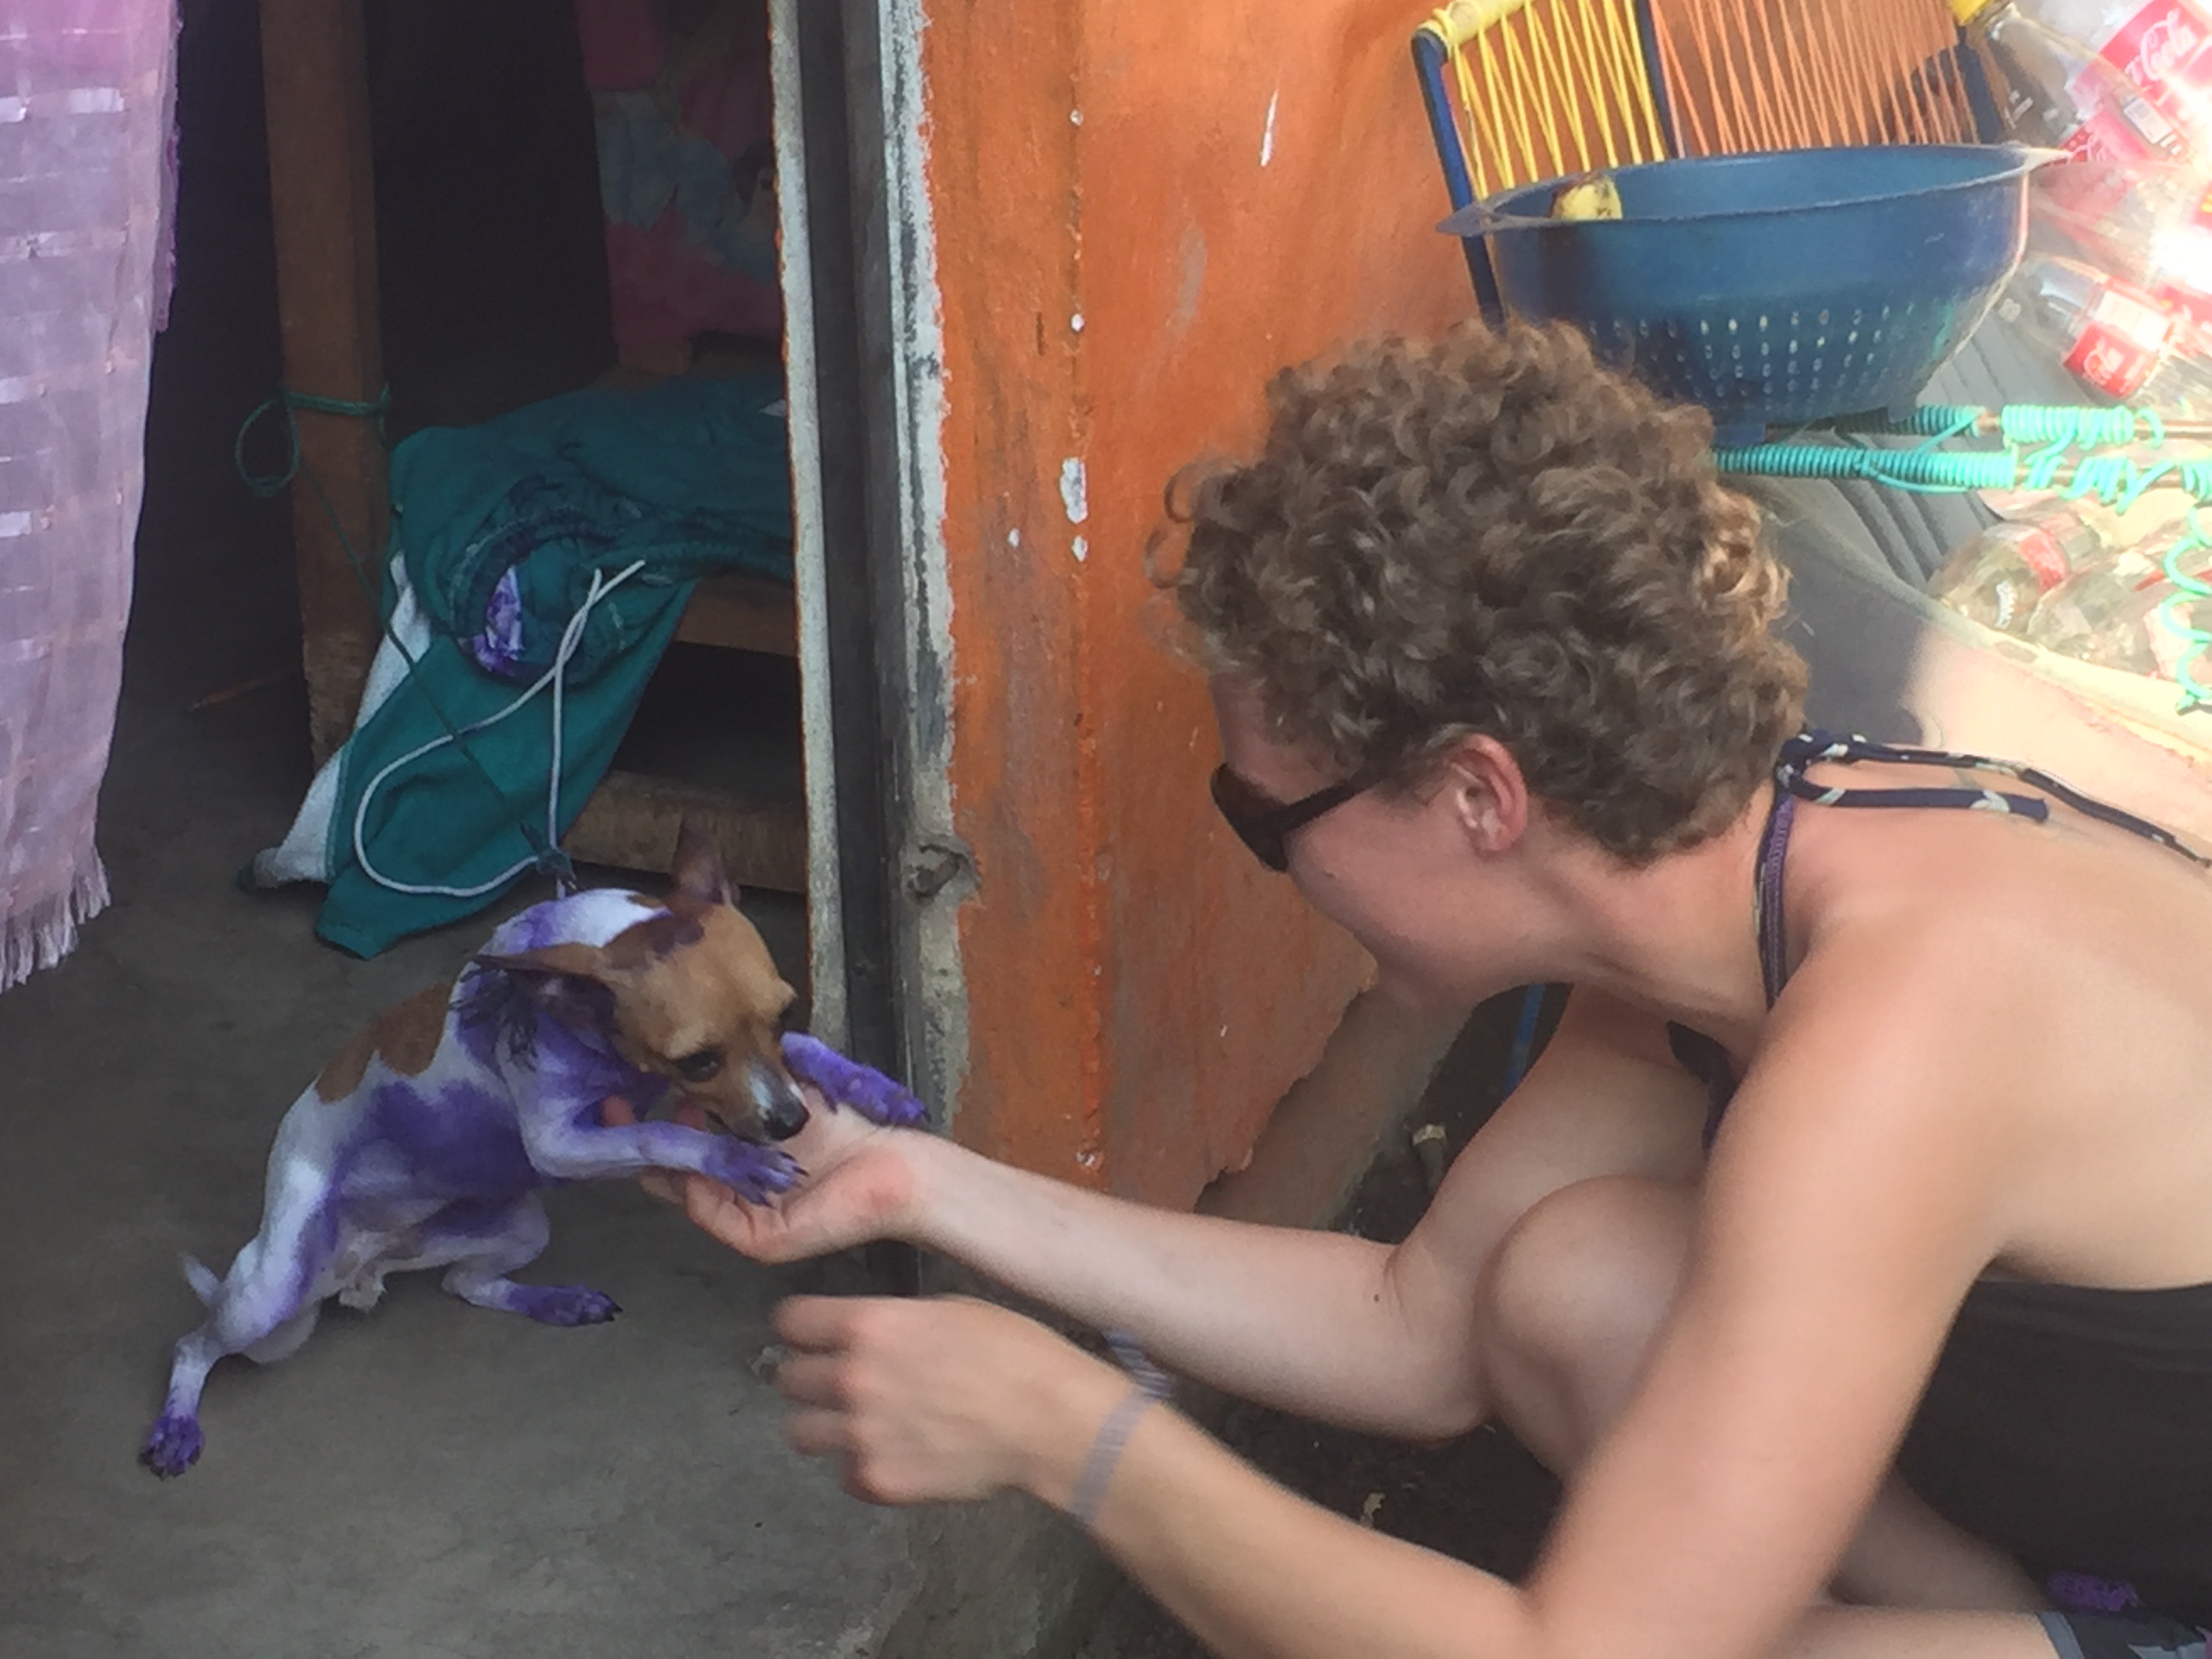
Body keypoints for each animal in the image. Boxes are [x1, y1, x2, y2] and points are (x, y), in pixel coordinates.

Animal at [141, 827, 923, 1477]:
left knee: (466, 1284)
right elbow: (664, 1134)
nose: (790, 1121)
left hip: (518, 1229)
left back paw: (556, 1301)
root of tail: (361, 1264)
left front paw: (869, 1086)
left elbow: (804, 1053)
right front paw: (734, 1160)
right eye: (698, 1062)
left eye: (785, 1012)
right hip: (270, 1293)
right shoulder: (560, 1143)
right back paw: (177, 1425)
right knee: (195, 1345)